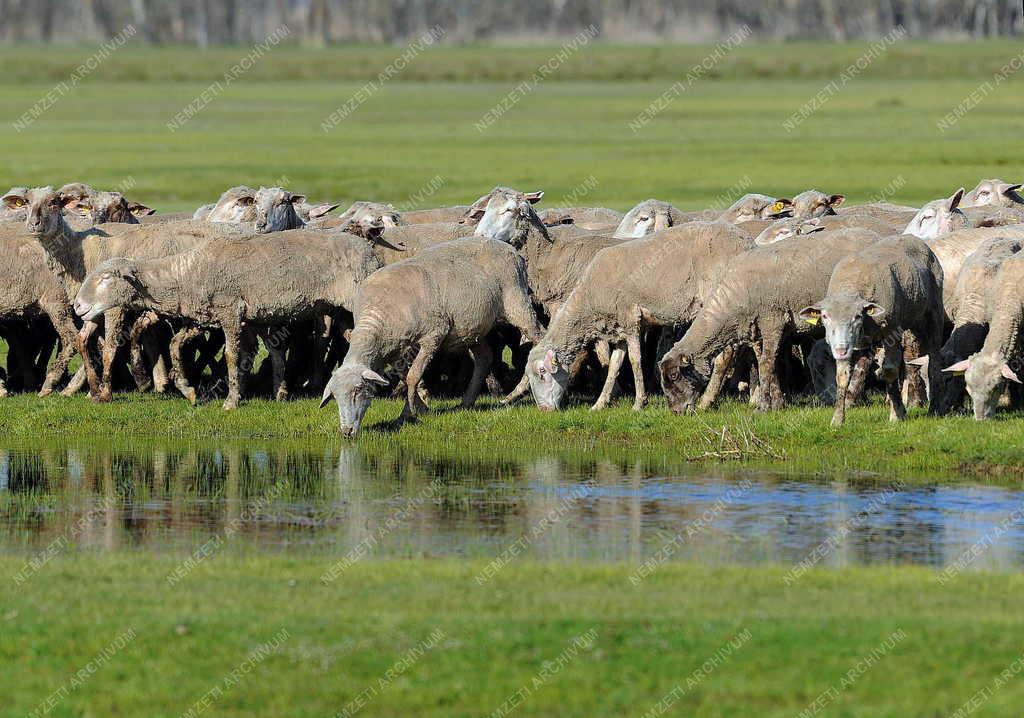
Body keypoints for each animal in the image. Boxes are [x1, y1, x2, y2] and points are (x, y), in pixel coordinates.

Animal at [74, 229, 382, 409]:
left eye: (105, 278)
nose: (77, 306)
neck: (186, 273)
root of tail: (371, 252)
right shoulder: (207, 316)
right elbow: (174, 345)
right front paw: (189, 391)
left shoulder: (230, 310)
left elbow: (233, 356)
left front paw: (232, 400)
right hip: (340, 310)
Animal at [317, 237, 544, 434]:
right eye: (335, 397)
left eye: (357, 390)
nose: (346, 432)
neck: (376, 318)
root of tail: (510, 249)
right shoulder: (394, 351)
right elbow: (404, 376)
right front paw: (419, 409)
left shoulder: (433, 336)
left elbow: (413, 377)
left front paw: (408, 413)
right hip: (470, 326)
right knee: (484, 357)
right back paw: (466, 402)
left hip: (517, 303)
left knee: (538, 339)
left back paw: (516, 394)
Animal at [520, 220, 753, 409]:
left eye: (542, 373)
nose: (544, 410)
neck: (588, 299)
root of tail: (747, 243)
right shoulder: (618, 328)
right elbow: (614, 365)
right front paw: (600, 403)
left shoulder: (630, 319)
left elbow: (634, 361)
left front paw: (640, 402)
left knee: (725, 354)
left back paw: (708, 400)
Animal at [659, 224, 884, 413]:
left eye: (675, 376)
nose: (677, 412)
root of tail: (876, 236)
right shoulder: (758, 329)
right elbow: (765, 363)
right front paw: (777, 403)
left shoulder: (773, 321)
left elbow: (767, 363)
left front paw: (764, 406)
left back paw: (854, 398)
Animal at [798, 235, 942, 426]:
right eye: (825, 316)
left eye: (858, 316)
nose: (841, 350)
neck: (849, 287)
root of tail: (913, 237)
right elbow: (842, 378)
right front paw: (837, 419)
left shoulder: (891, 330)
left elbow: (890, 370)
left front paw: (896, 414)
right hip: (912, 320)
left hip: (934, 311)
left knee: (933, 359)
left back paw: (935, 406)